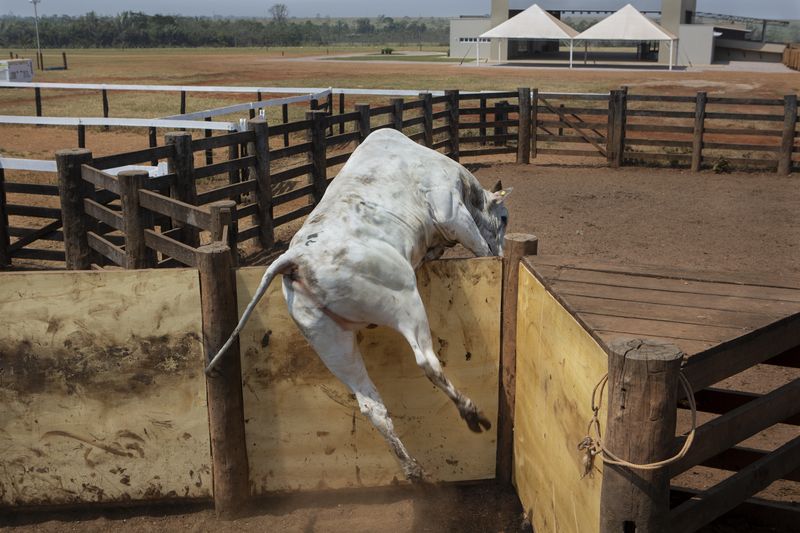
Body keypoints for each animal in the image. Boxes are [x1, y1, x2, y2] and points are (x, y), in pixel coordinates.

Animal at [206, 128, 511, 481]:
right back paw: (471, 413)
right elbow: (474, 241)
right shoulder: (449, 209)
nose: (502, 251)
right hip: (404, 301)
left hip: (330, 340)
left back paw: (412, 468)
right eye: (503, 218)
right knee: (426, 361)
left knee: (370, 404)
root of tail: (295, 258)